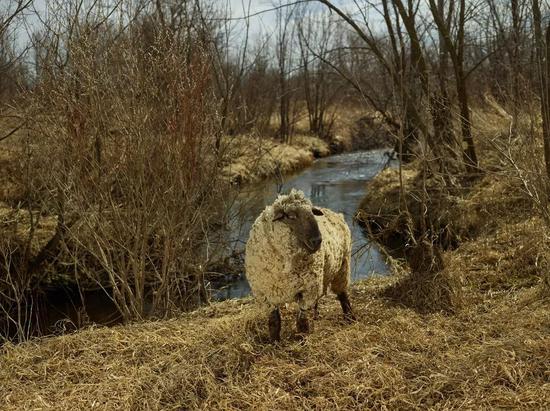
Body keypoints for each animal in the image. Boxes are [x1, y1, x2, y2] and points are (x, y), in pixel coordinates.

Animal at [247, 190, 358, 342]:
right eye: (291, 216)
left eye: (312, 213)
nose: (317, 240)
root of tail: (335, 213)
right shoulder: (266, 295)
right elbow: (274, 321)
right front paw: (274, 342)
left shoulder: (307, 290)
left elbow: (302, 322)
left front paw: (301, 340)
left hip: (343, 266)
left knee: (342, 295)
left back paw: (349, 318)